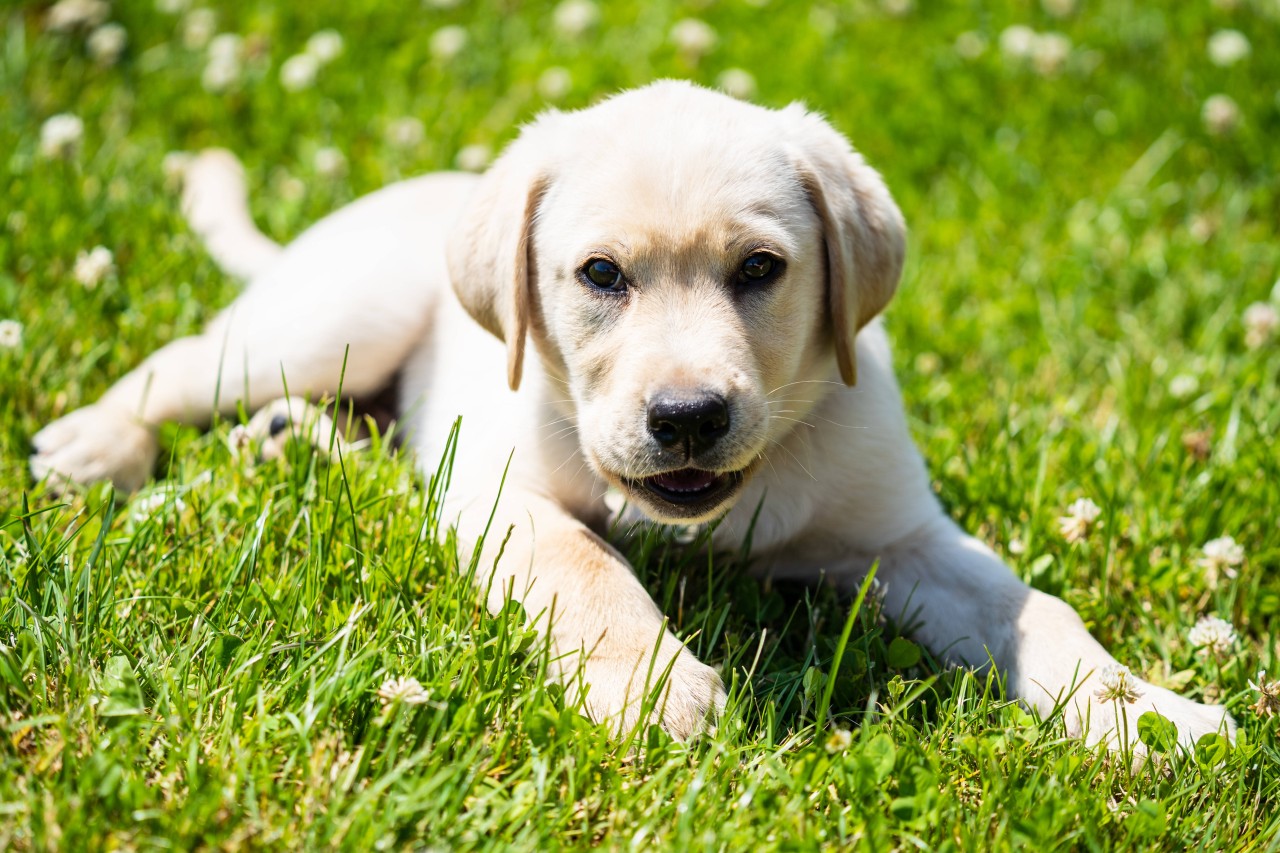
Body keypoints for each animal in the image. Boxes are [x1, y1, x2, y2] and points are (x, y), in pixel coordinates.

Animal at [27, 79, 1228, 742]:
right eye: (601, 275)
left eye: (760, 269)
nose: (688, 417)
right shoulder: (504, 500)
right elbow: (590, 571)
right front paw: (657, 691)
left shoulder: (904, 539)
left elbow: (1037, 611)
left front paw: (1146, 716)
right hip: (327, 317)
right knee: (185, 365)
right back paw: (98, 442)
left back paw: (294, 446)